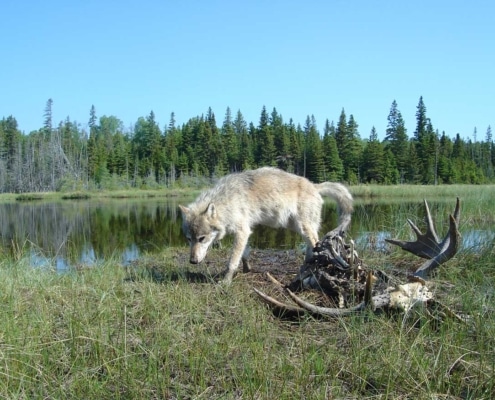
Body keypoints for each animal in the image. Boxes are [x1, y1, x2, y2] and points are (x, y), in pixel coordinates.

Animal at [178, 167, 352, 282]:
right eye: (189, 239)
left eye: (201, 238)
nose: (192, 261)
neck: (227, 200)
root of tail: (315, 185)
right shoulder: (244, 232)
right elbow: (244, 254)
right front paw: (247, 269)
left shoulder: (242, 231)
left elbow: (232, 261)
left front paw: (226, 282)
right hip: (294, 226)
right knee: (312, 245)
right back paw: (306, 265)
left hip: (303, 227)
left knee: (316, 242)